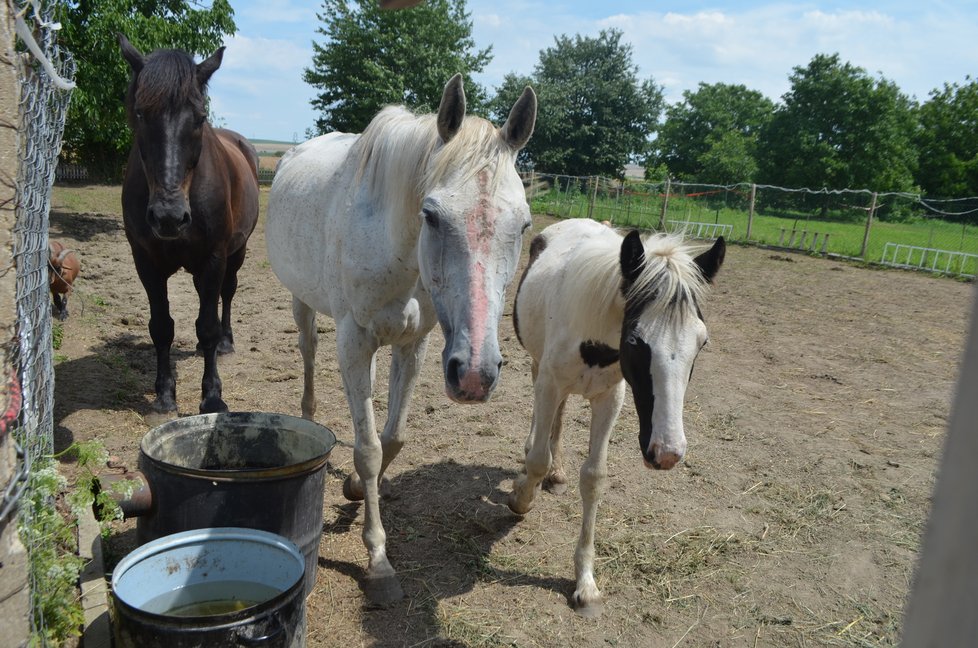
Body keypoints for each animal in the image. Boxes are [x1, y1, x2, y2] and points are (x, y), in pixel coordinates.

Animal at [118, 35, 260, 412]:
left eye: (199, 118)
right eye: (140, 112)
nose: (168, 216)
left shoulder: (214, 257)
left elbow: (208, 326)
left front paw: (212, 396)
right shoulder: (146, 263)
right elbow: (161, 327)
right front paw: (165, 393)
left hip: (235, 254)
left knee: (226, 294)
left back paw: (226, 342)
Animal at [264, 76, 532, 608]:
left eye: (525, 225)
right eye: (431, 215)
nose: (476, 375)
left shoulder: (416, 344)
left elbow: (392, 438)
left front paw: (353, 488)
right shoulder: (353, 339)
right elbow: (368, 448)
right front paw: (379, 561)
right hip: (304, 303)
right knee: (308, 354)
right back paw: (308, 413)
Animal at [504, 219, 724, 616]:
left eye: (702, 342)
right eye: (636, 341)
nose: (667, 453)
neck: (596, 341)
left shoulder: (610, 399)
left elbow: (594, 477)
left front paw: (586, 584)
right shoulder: (549, 383)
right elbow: (537, 459)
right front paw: (520, 498)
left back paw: (558, 472)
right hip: (538, 367)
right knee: (541, 423)